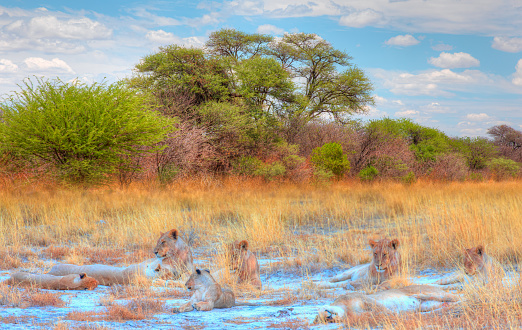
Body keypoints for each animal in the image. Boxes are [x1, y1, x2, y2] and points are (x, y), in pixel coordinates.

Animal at [312, 284, 456, 322]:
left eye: (326, 312)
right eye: (327, 321)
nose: (330, 317)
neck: (346, 310)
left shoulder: (366, 299)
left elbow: (382, 308)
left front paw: (395, 314)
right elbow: (377, 314)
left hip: (429, 293)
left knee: (457, 297)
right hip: (427, 305)